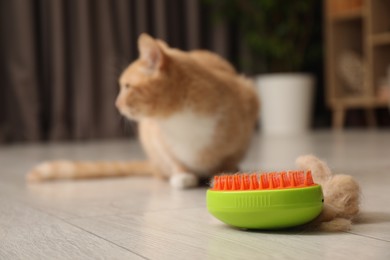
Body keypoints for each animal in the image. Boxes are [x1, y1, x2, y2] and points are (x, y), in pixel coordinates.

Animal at [26, 34, 258, 189]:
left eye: (127, 87)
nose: (116, 104)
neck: (180, 117)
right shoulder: (155, 136)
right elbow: (173, 157)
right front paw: (182, 174)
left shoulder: (248, 100)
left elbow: (229, 158)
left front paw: (227, 174)